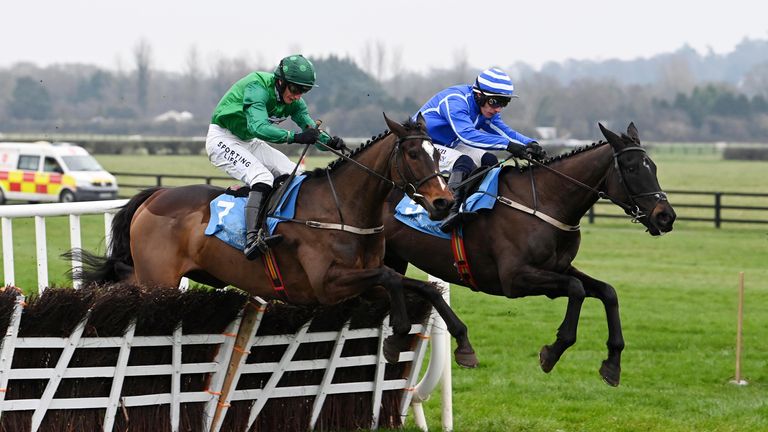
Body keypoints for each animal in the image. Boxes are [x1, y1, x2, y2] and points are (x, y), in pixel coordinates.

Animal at [73, 115, 480, 368]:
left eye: (436, 152)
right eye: (413, 154)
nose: (444, 201)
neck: (342, 208)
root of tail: (154, 195)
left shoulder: (362, 282)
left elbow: (418, 287)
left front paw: (463, 343)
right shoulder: (327, 284)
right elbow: (393, 278)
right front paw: (396, 337)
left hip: (146, 276)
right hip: (159, 279)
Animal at [380, 122, 676, 384]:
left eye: (654, 167)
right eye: (631, 167)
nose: (666, 217)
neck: (545, 201)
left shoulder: (558, 268)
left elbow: (607, 292)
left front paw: (612, 364)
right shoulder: (515, 279)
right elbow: (577, 288)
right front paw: (553, 352)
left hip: (396, 256)